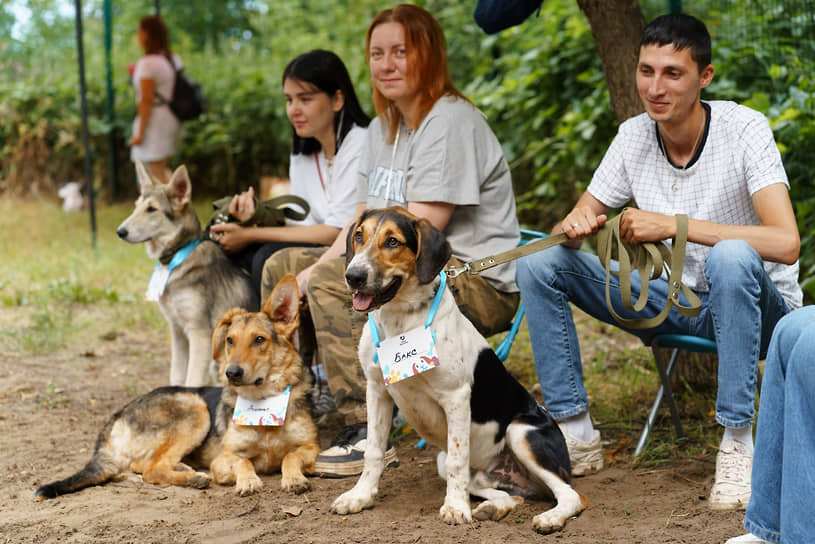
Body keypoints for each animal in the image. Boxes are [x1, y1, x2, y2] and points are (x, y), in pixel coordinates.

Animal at [33, 276, 318, 502]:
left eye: (259, 340)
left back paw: (183, 470)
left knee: (141, 465)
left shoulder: (311, 448)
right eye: (230, 341)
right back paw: (191, 478)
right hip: (194, 409)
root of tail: (117, 415)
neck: (263, 404)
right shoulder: (222, 460)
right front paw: (248, 480)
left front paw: (294, 478)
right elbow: (243, 460)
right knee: (151, 469)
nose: (231, 373)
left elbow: (290, 456)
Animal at [117, 162, 258, 386]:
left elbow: (192, 381)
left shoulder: (200, 335)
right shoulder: (177, 332)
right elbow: (176, 377)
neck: (178, 256)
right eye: (136, 206)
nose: (120, 232)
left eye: (152, 209)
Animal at [330, 209, 588, 536]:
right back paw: (493, 508)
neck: (401, 321)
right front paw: (360, 497)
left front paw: (455, 508)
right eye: (358, 236)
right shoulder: (377, 390)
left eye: (392, 241)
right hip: (463, 466)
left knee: (571, 495)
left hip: (521, 432)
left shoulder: (455, 397)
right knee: (502, 493)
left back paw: (550, 517)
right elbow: (373, 452)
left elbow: (457, 459)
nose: (353, 276)